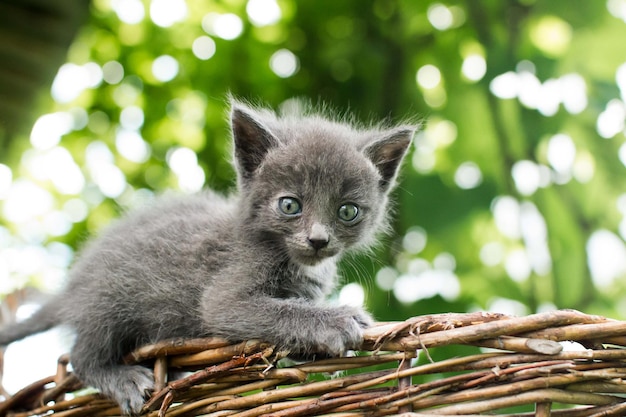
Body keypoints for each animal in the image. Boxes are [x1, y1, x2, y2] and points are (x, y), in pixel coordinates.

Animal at [0, 99, 414, 414]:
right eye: (290, 205)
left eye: (348, 211)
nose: (318, 240)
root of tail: (71, 286)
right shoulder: (226, 292)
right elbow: (268, 312)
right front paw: (338, 321)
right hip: (107, 300)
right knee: (81, 355)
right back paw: (123, 378)